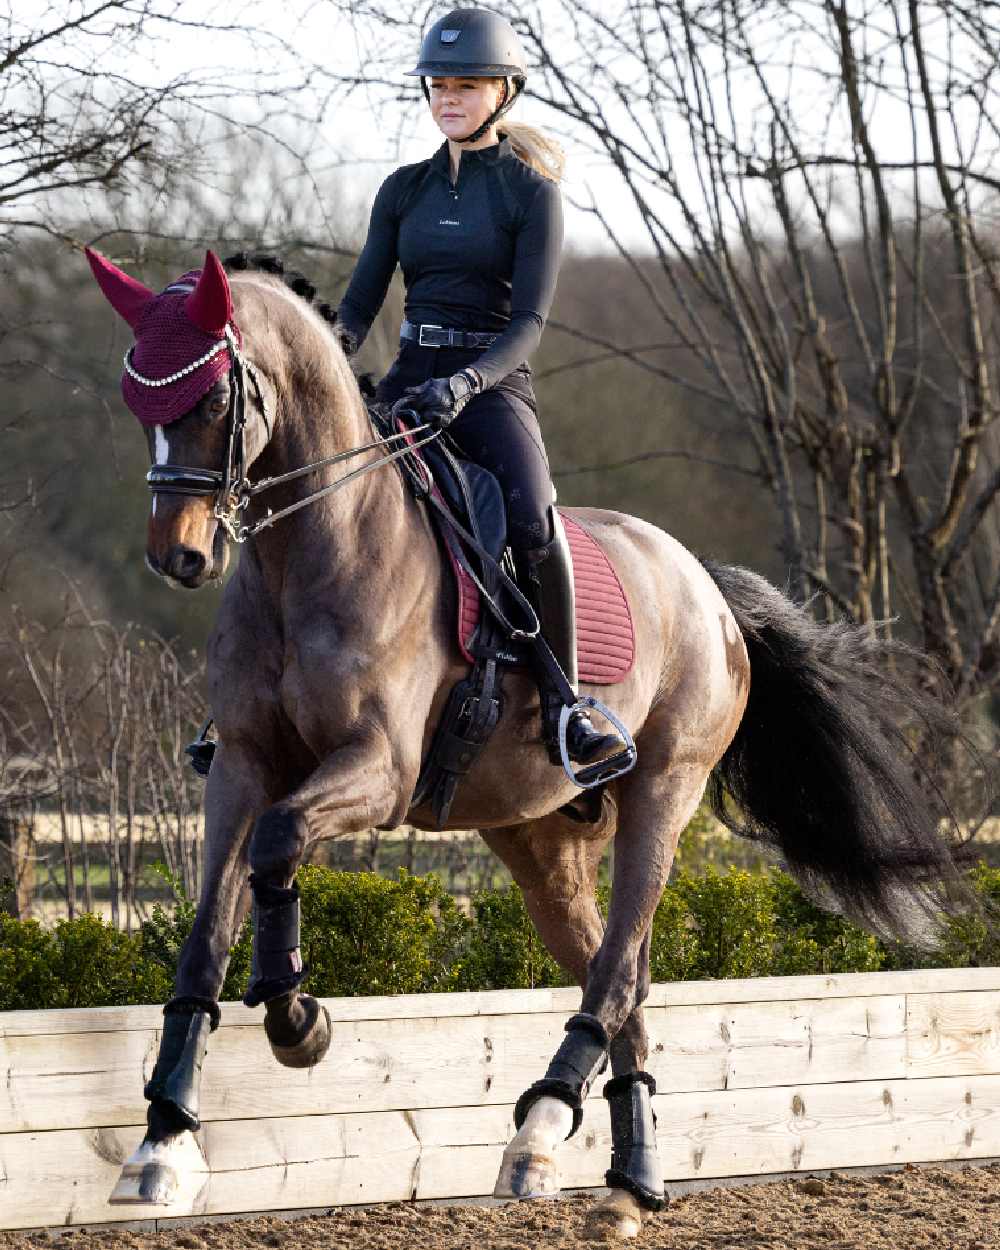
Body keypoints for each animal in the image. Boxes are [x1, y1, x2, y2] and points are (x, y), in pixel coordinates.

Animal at [90, 248, 965, 1235]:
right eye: (139, 401)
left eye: (210, 399)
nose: (180, 557)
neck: (310, 553)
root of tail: (706, 585)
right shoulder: (241, 766)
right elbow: (209, 928)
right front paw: (164, 1140)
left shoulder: (377, 770)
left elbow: (280, 842)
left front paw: (296, 1020)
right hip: (537, 839)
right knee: (623, 983)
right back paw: (623, 1184)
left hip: (663, 793)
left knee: (617, 973)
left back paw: (543, 1123)